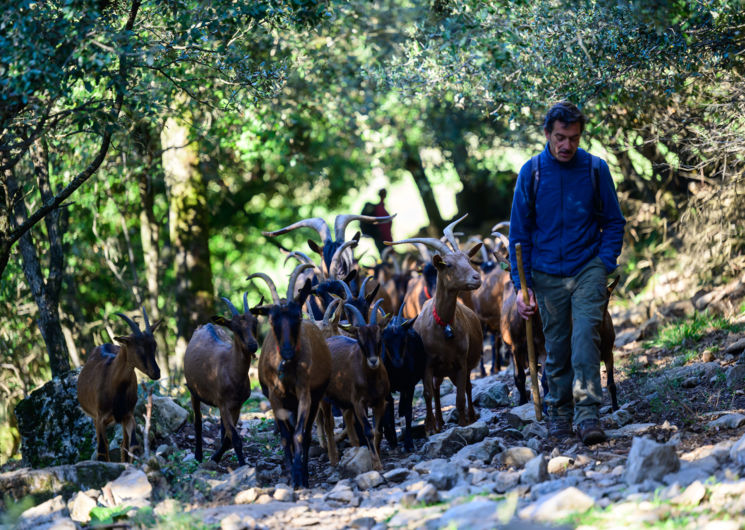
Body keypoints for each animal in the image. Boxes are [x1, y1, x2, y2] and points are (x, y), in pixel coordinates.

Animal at [76, 308, 161, 460]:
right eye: (139, 349)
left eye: (154, 345)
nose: (156, 372)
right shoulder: (100, 418)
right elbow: (102, 449)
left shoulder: (128, 414)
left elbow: (131, 445)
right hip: (95, 417)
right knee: (104, 445)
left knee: (123, 444)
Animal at [182, 292, 258, 466]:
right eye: (235, 328)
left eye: (255, 323)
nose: (253, 345)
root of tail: (206, 325)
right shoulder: (222, 403)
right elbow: (235, 438)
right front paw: (242, 465)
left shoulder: (237, 405)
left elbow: (229, 437)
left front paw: (216, 456)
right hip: (193, 391)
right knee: (198, 423)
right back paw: (198, 455)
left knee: (223, 428)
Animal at [384, 212, 482, 432]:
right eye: (449, 265)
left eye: (468, 259)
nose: (477, 277)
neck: (443, 325)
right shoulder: (427, 364)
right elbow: (428, 393)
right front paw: (430, 427)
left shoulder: (461, 362)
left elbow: (460, 395)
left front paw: (463, 422)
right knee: (436, 389)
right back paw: (439, 420)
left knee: (467, 387)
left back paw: (471, 415)